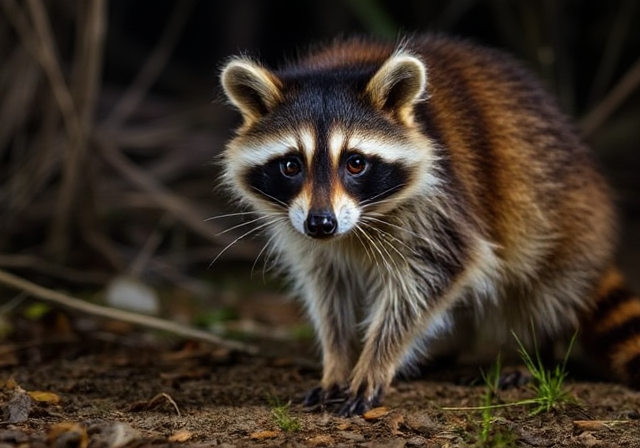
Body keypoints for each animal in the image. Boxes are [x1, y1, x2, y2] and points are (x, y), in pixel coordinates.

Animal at [217, 34, 640, 416]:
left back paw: (527, 351)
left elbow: (430, 278)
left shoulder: (442, 199)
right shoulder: (301, 231)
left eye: (356, 163)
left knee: (537, 289)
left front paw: (376, 360)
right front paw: (337, 360)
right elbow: (328, 291)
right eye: (291, 165)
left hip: (561, 220)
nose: (321, 223)